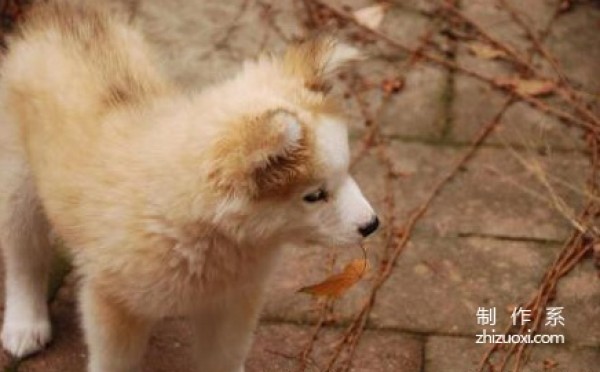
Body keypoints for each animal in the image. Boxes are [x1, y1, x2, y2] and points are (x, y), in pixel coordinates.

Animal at [0, 1, 378, 370]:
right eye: (314, 195)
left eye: (347, 171)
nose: (373, 225)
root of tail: (60, 17)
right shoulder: (114, 303)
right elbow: (113, 362)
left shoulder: (232, 301)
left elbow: (224, 359)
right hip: (18, 184)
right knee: (24, 258)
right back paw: (24, 325)